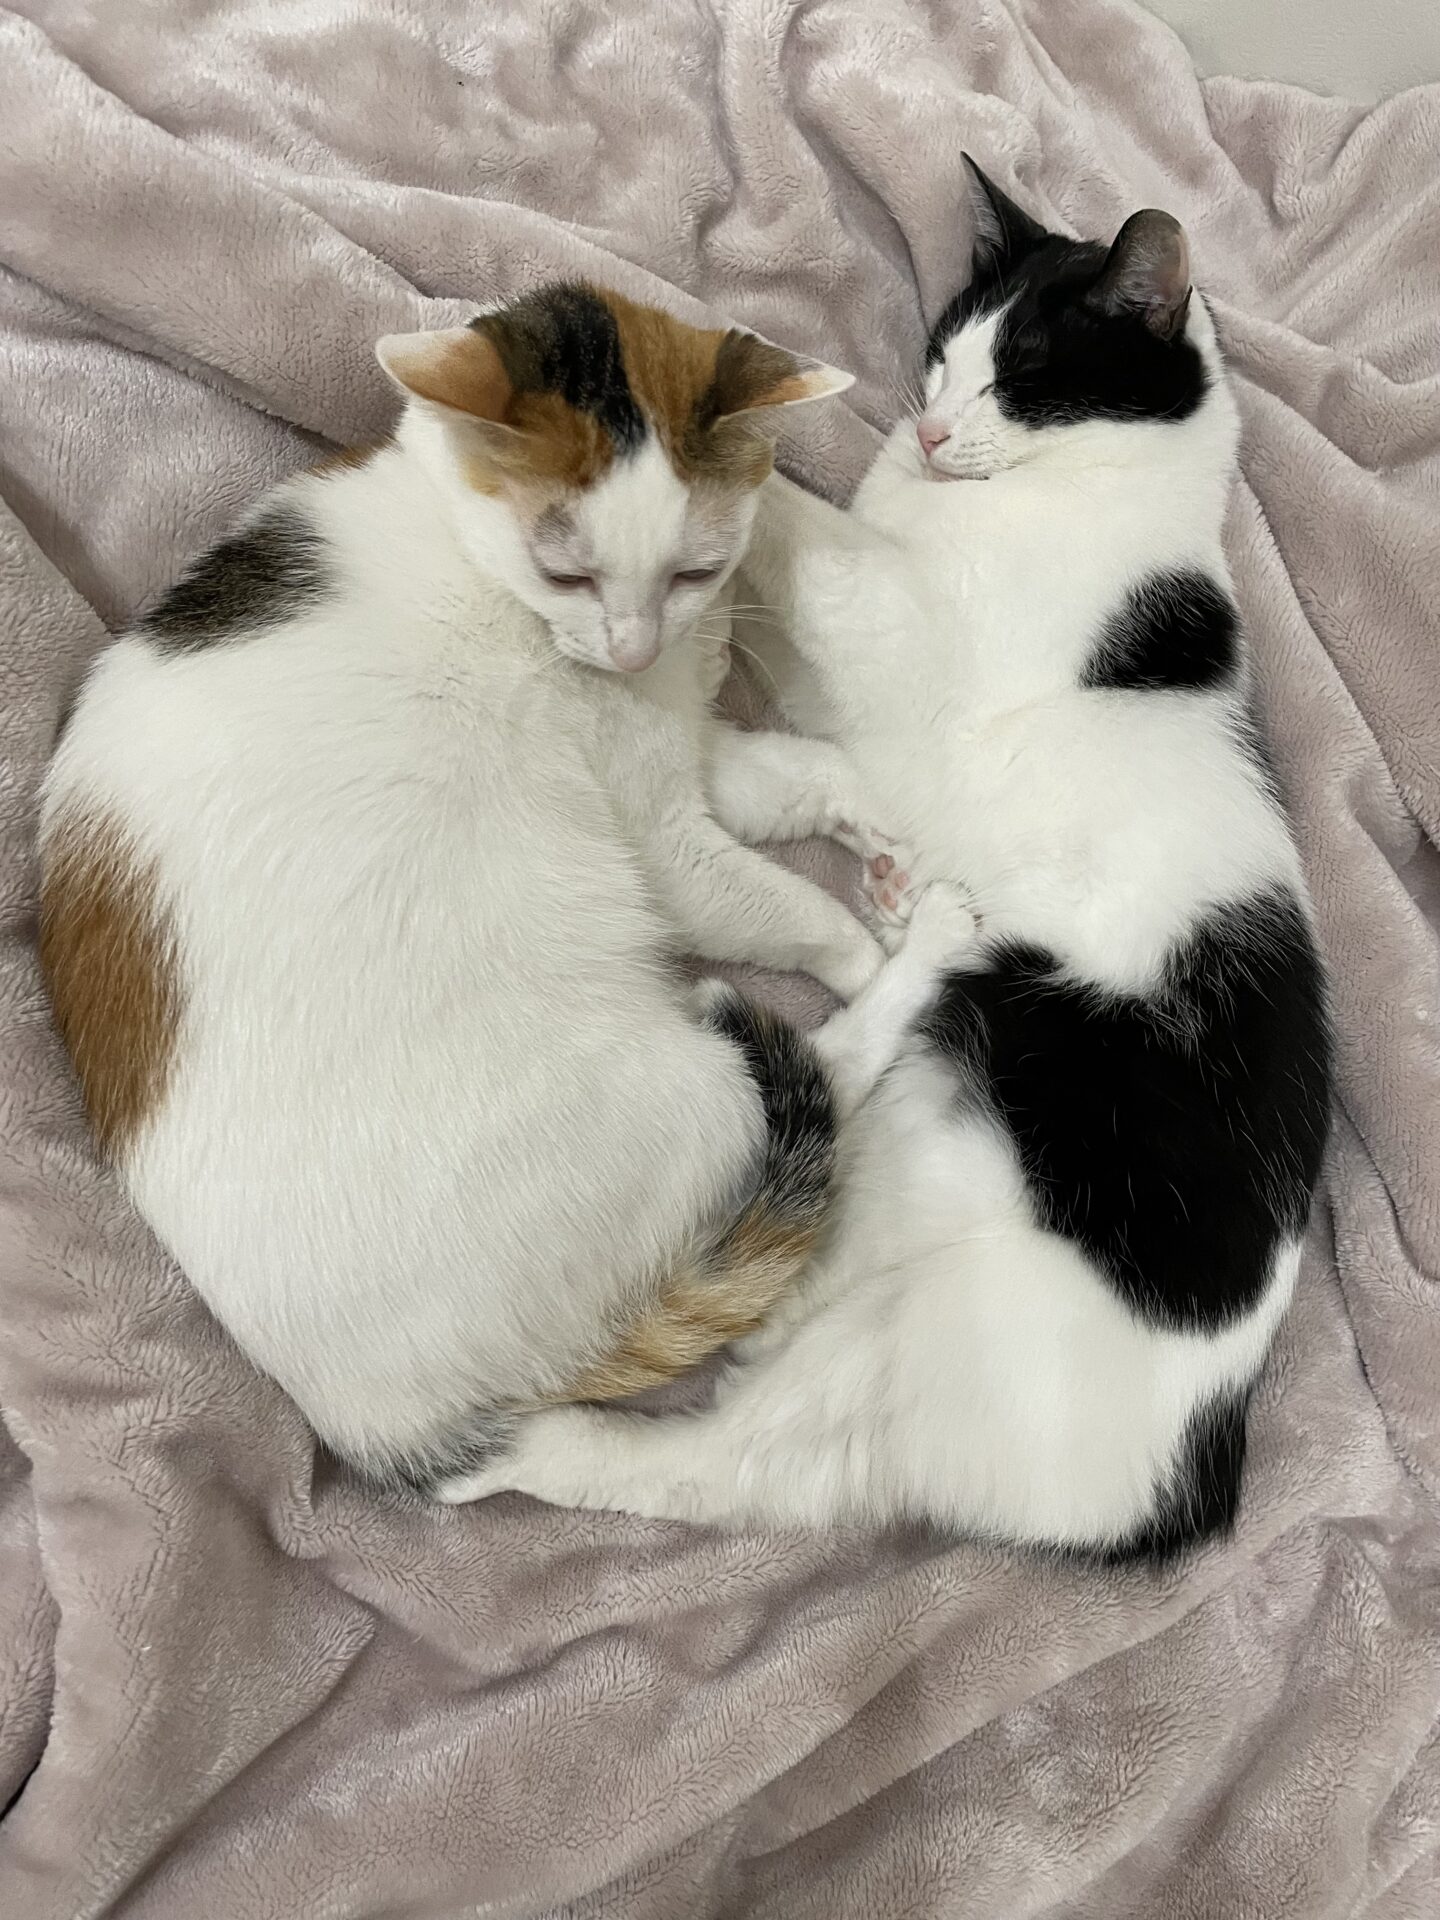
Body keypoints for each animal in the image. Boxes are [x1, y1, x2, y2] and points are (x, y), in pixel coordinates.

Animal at [38, 279, 978, 1493]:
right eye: (566, 571)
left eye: (695, 569)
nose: (629, 646)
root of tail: (387, 1423)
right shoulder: (663, 841)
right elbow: (782, 905)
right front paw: (876, 935)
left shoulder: (685, 740)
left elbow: (798, 775)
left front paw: (888, 848)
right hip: (693, 1087)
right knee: (824, 1065)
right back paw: (931, 956)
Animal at [447, 168, 1334, 1558]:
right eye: (942, 357)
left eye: (1019, 374)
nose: (925, 429)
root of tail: (1194, 1472)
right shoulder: (851, 695)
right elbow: (802, 744)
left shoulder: (898, 625)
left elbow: (794, 530)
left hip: (896, 1349)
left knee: (709, 1467)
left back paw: (532, 1448)